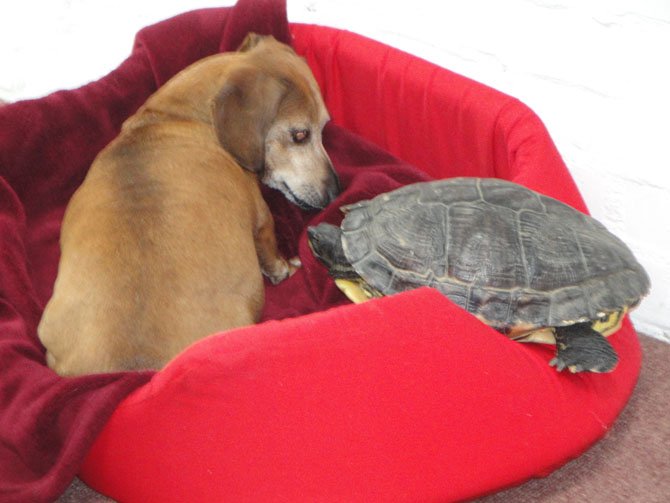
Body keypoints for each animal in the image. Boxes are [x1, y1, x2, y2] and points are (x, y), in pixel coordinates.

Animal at [37, 33, 342, 376]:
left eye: (324, 127)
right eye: (300, 134)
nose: (336, 192)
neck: (180, 117)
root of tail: (136, 368)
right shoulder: (262, 220)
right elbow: (271, 253)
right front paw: (286, 268)